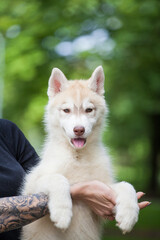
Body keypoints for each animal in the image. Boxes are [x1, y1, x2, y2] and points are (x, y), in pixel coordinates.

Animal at [21, 66, 139, 240]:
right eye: (66, 110)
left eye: (89, 110)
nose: (79, 130)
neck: (78, 156)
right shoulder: (31, 185)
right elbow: (58, 178)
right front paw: (62, 213)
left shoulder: (105, 186)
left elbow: (127, 186)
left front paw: (129, 216)